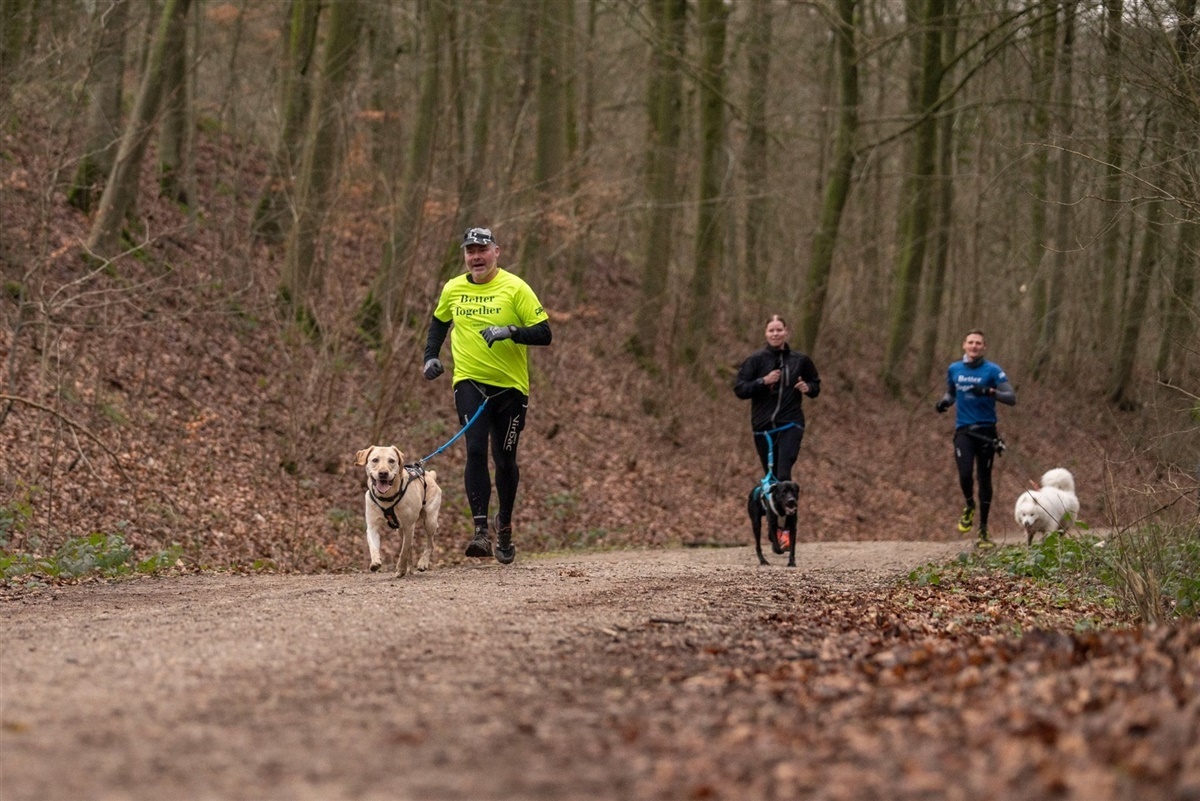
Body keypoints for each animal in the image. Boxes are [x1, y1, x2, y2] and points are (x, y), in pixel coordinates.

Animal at [352, 443, 444, 575]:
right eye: (375, 460)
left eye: (391, 460)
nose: (383, 473)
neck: (387, 498)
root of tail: (430, 475)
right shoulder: (372, 526)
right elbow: (373, 546)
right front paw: (375, 562)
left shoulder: (409, 526)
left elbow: (403, 551)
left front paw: (400, 568)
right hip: (400, 531)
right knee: (410, 545)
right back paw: (409, 568)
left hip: (429, 520)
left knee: (430, 543)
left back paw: (422, 563)